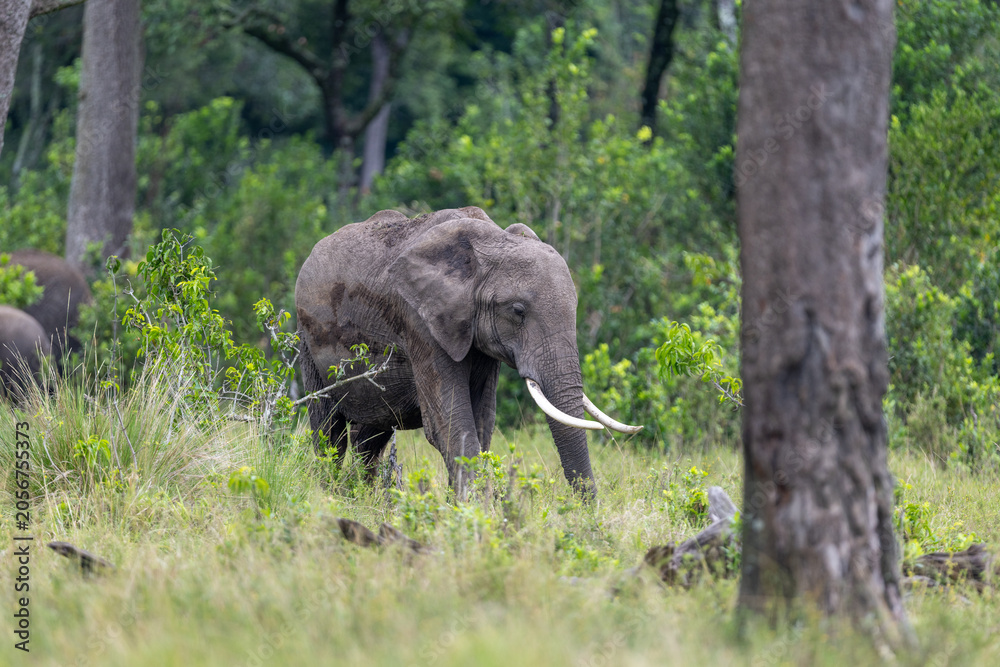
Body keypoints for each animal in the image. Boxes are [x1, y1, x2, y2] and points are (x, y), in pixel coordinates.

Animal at [295, 206, 640, 497]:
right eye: (518, 311)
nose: (589, 516)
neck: (491, 244)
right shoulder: (420, 324)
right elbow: (451, 426)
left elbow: (482, 423)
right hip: (307, 338)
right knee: (329, 431)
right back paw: (331, 495)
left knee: (370, 436)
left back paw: (361, 498)